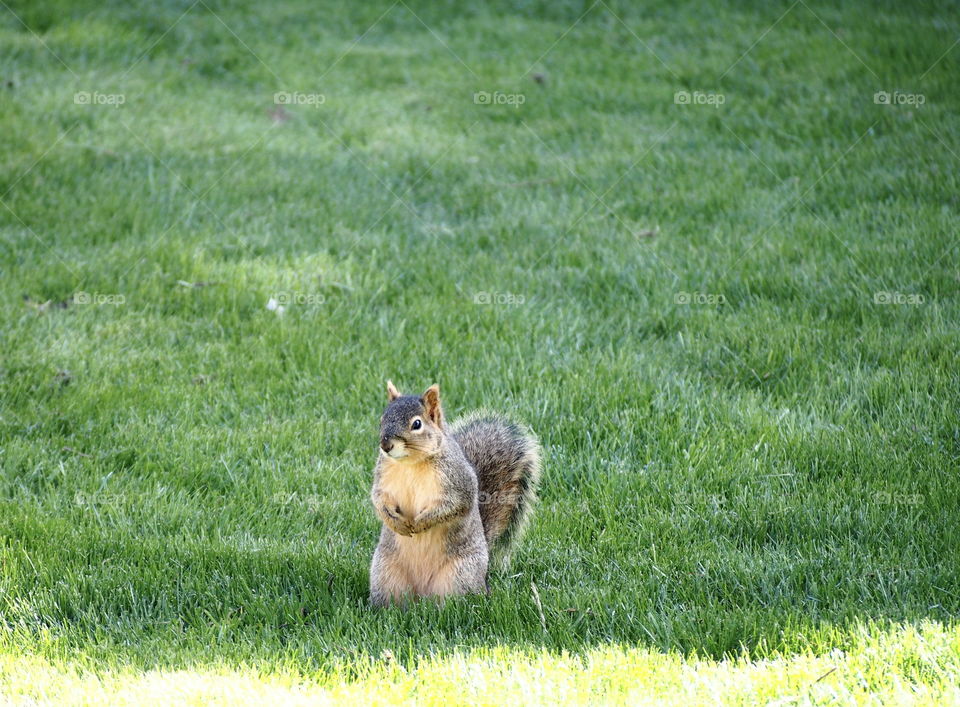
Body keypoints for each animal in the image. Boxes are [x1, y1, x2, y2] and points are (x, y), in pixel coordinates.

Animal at [372, 382, 540, 608]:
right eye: (382, 419)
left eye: (417, 424)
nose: (386, 445)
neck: (411, 463)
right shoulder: (383, 478)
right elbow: (379, 500)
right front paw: (395, 523)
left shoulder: (458, 484)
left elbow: (452, 506)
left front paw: (421, 523)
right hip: (384, 572)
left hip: (460, 574)